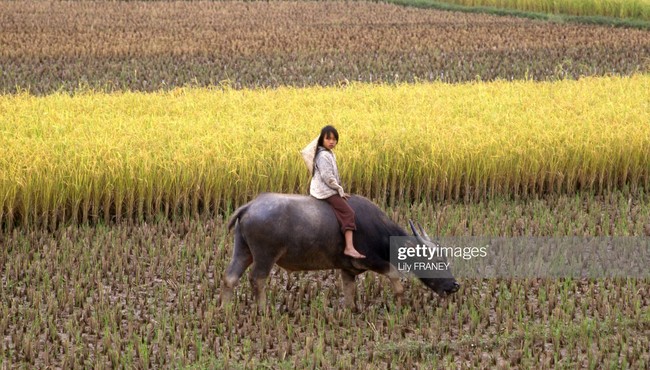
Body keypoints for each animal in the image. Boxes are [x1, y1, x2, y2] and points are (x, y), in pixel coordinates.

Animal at [220, 194, 458, 310]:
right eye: (437, 262)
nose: (454, 286)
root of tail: (249, 206)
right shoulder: (374, 261)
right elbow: (395, 278)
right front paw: (401, 305)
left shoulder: (348, 270)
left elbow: (349, 291)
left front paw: (351, 311)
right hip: (265, 255)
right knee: (257, 279)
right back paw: (263, 310)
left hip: (243, 250)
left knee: (230, 277)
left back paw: (226, 309)